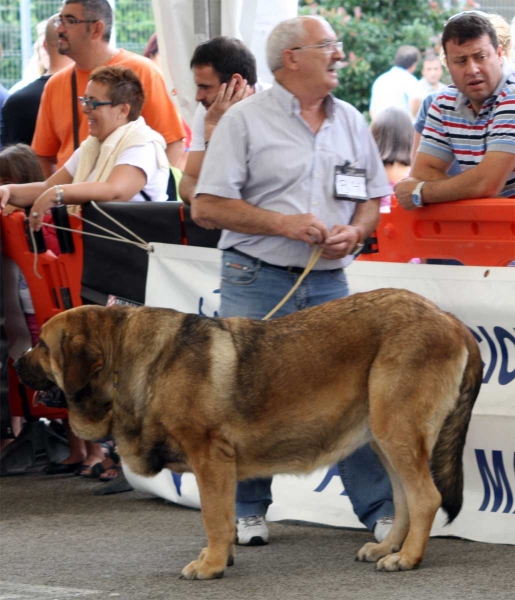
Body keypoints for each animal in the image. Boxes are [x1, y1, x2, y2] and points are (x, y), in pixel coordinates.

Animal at [16, 288, 484, 580]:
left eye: (43, 345)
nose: (15, 363)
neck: (122, 360)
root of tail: (450, 319)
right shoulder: (216, 467)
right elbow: (221, 517)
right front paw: (218, 558)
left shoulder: (210, 457)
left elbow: (213, 517)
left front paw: (211, 566)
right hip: (386, 437)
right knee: (405, 499)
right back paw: (388, 549)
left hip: (396, 430)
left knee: (425, 498)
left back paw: (407, 559)